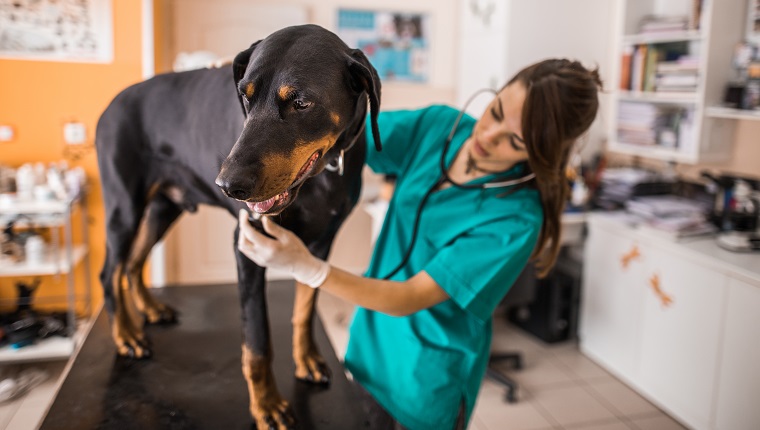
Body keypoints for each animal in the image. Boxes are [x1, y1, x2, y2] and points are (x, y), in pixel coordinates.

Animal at [95, 25, 380, 428]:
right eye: (244, 97)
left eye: (301, 103)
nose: (227, 185)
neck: (320, 178)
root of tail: (111, 105)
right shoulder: (247, 247)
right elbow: (257, 341)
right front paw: (267, 405)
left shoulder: (320, 247)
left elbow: (305, 309)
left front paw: (306, 358)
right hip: (124, 209)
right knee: (110, 272)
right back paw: (126, 336)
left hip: (164, 209)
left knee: (134, 263)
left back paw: (150, 310)